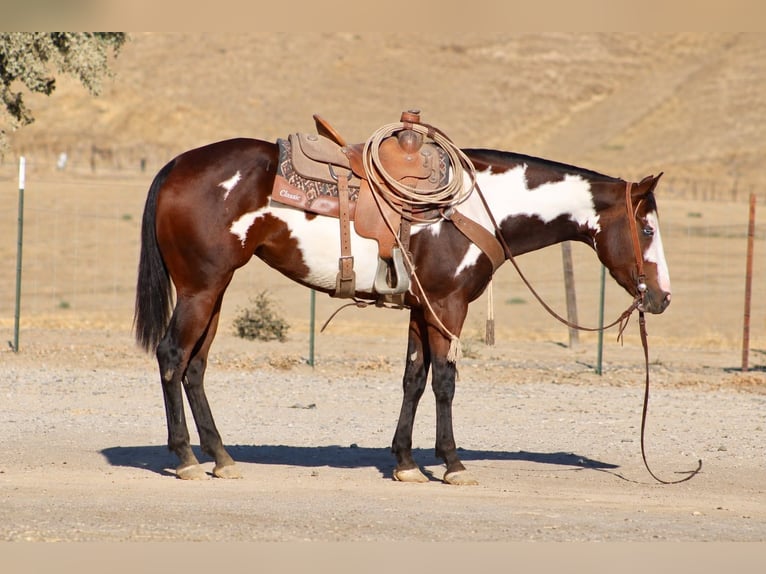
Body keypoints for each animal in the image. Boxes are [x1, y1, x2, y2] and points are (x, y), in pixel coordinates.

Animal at [133, 131, 671, 485]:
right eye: (647, 229)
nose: (662, 297)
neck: (477, 207)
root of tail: (176, 165)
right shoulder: (448, 307)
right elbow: (445, 380)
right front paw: (452, 464)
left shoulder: (421, 307)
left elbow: (414, 378)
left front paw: (406, 463)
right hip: (201, 289)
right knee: (172, 357)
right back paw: (185, 459)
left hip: (214, 291)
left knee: (196, 367)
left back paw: (221, 457)